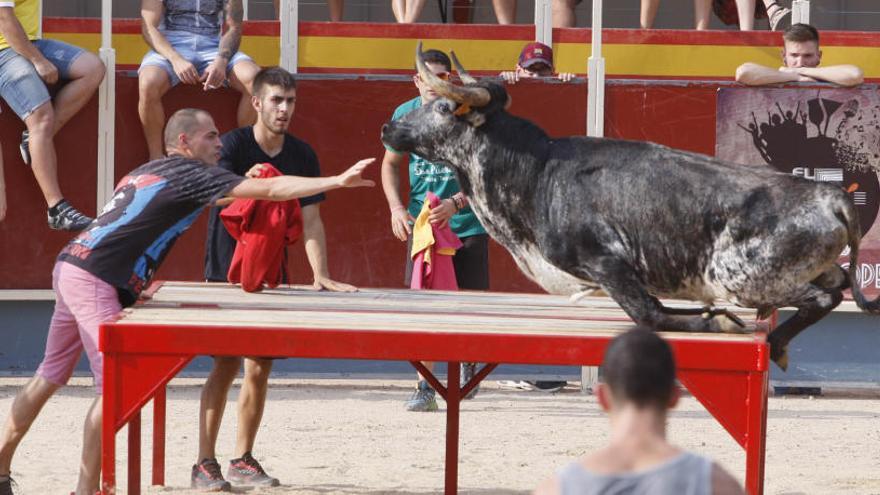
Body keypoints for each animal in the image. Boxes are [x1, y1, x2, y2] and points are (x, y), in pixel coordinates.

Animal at [384, 42, 880, 370]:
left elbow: (650, 314)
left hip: (743, 278)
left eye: (444, 107)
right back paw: (776, 342)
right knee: (836, 287)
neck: (539, 171)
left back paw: (770, 338)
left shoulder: (608, 264)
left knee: (823, 296)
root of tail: (830, 195)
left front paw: (718, 323)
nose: (389, 128)